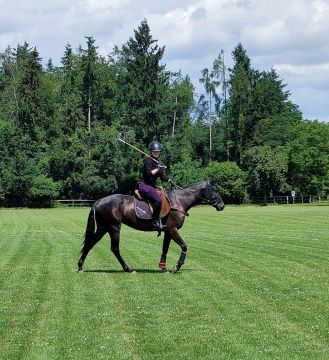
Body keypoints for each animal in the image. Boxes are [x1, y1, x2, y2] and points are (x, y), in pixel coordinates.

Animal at [78, 180, 224, 272]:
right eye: (215, 190)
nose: (222, 205)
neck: (178, 202)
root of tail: (99, 201)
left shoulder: (168, 231)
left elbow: (165, 248)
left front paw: (163, 267)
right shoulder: (172, 230)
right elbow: (184, 246)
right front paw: (177, 265)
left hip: (104, 228)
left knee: (91, 243)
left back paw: (80, 266)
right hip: (114, 228)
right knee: (114, 248)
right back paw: (127, 269)